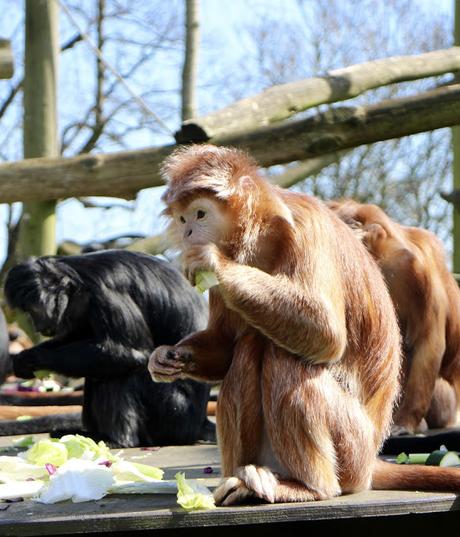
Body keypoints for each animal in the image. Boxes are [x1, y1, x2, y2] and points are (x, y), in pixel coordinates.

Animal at [4, 251, 214, 448]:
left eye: (34, 310)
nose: (37, 326)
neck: (78, 282)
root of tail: (198, 423)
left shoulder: (106, 292)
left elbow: (132, 354)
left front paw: (34, 358)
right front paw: (23, 359)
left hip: (173, 411)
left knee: (123, 372)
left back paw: (116, 440)